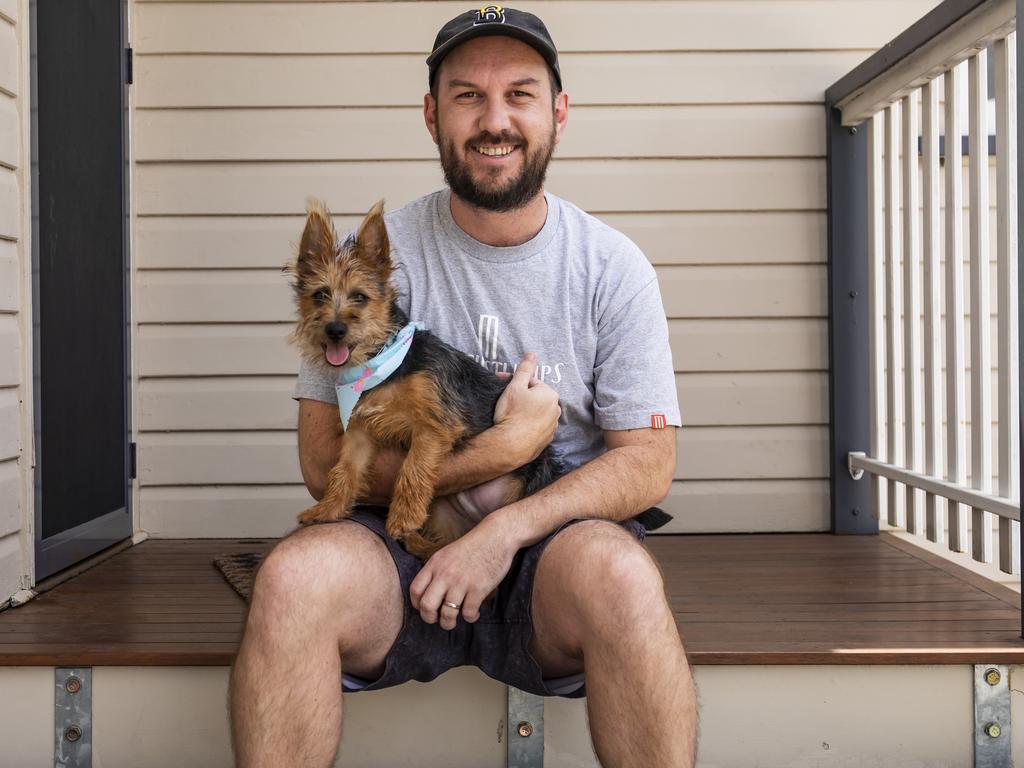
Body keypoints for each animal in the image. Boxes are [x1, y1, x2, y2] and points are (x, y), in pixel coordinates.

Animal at [284, 198, 561, 561]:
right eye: (319, 295)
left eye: (360, 297)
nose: (335, 330)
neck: (382, 363)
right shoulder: (359, 432)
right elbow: (344, 470)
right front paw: (328, 510)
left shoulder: (434, 425)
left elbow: (412, 468)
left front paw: (402, 517)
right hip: (444, 513)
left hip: (526, 484)